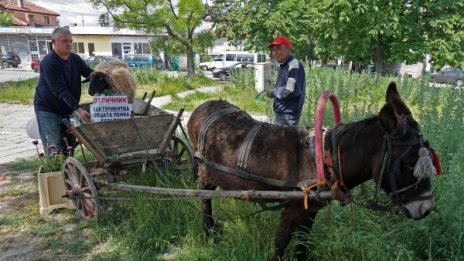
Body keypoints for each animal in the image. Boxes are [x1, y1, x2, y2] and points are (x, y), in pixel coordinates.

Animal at [186, 82, 436, 258]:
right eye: (410, 162)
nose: (427, 209)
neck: (325, 160)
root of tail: (204, 106)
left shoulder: (311, 209)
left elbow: (303, 241)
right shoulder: (292, 207)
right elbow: (281, 242)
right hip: (206, 174)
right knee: (204, 200)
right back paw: (209, 232)